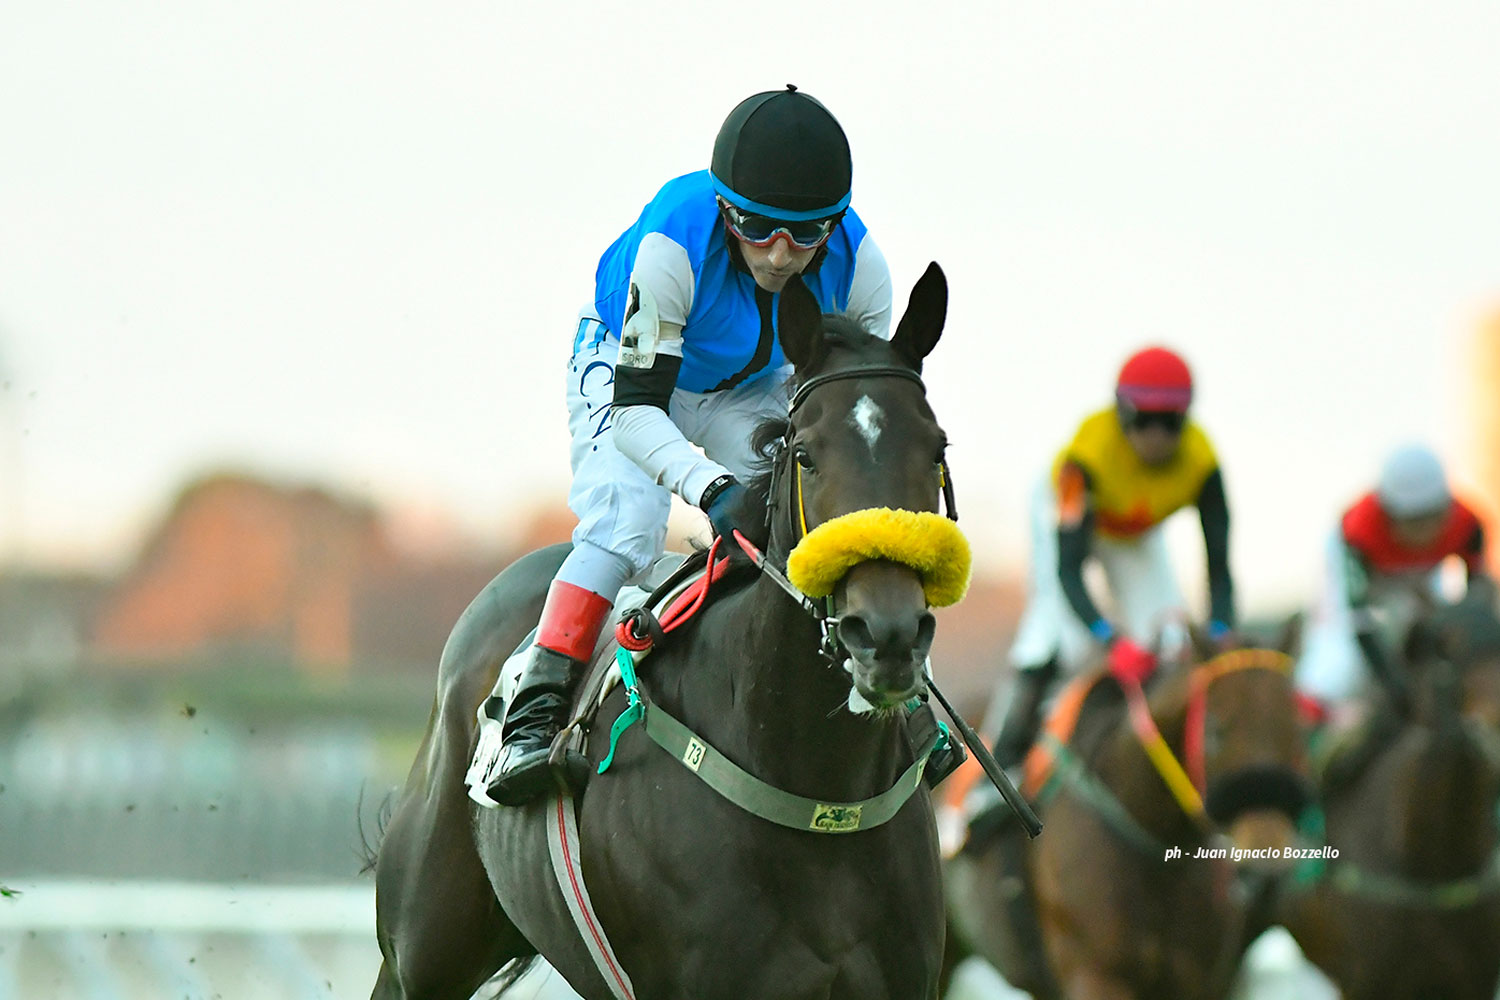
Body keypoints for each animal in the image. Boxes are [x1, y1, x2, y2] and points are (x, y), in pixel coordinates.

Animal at [369, 263, 969, 1000]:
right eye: (805, 453)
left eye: (936, 449)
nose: (885, 634)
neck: (818, 784)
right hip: (419, 952)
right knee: (613, 527)